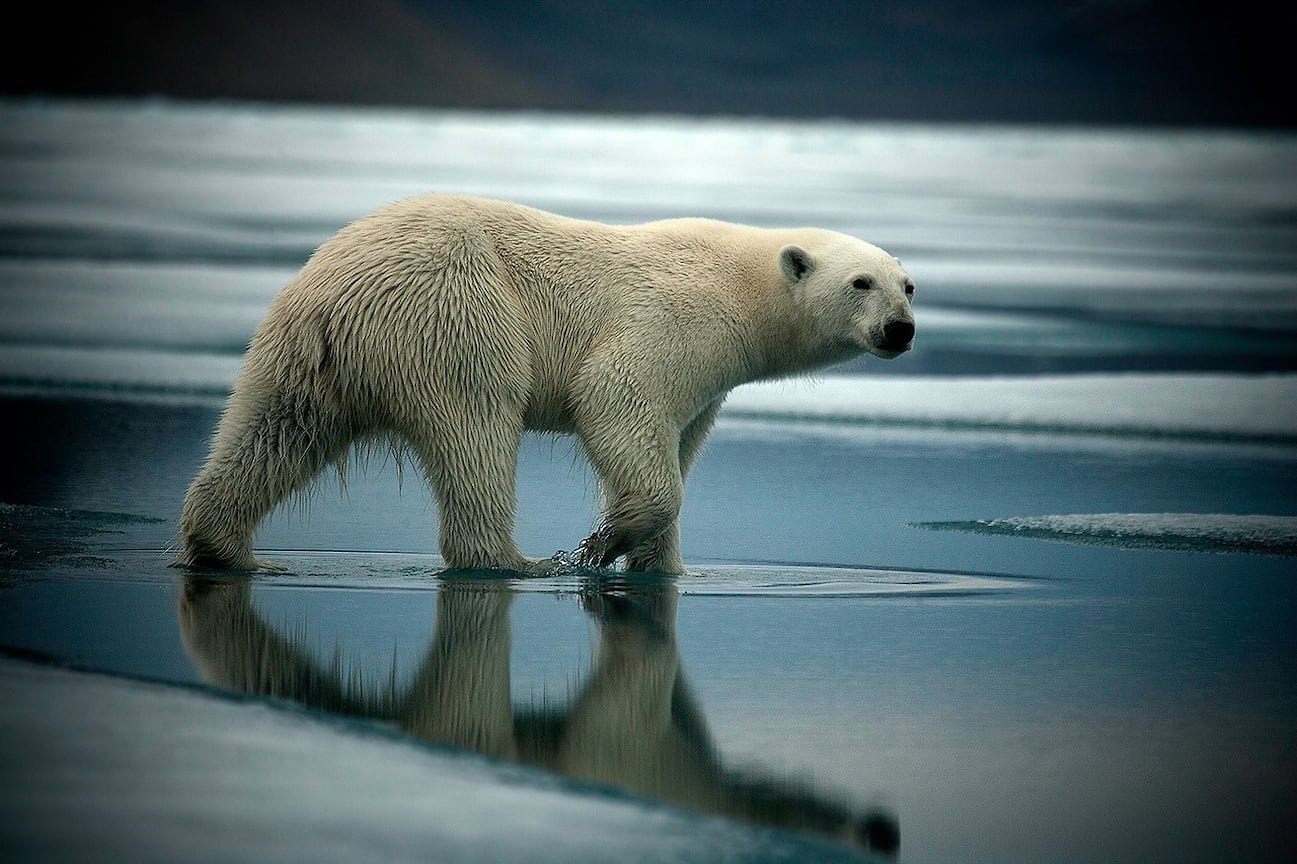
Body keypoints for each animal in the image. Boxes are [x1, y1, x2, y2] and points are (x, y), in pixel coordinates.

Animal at [177, 195, 918, 570]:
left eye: (908, 285)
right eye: (861, 283)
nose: (900, 329)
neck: (740, 284)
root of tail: (333, 288)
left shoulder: (709, 384)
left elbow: (678, 445)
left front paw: (660, 568)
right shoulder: (671, 320)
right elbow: (618, 402)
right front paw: (603, 544)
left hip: (303, 352)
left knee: (274, 431)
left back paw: (224, 545)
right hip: (455, 314)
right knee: (476, 433)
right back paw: (512, 561)